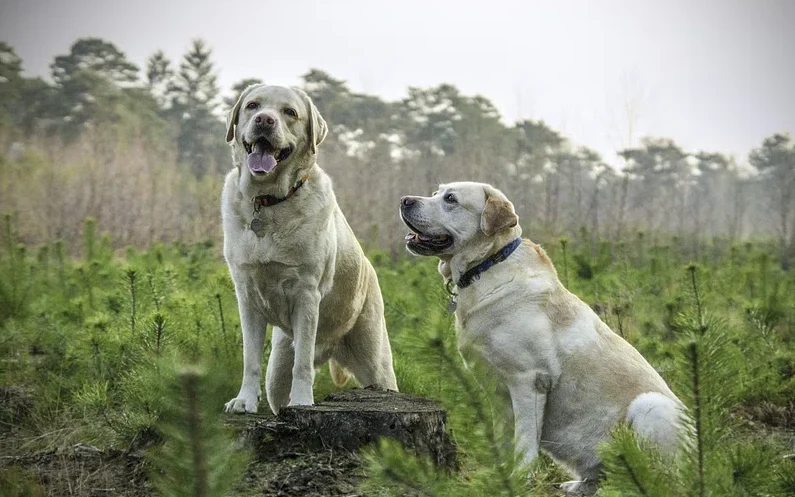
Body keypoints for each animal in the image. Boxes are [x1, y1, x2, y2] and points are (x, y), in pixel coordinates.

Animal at [219, 85, 398, 414]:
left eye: (289, 112)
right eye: (252, 106)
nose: (265, 120)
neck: (269, 202)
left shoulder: (306, 294)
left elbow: (302, 364)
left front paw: (303, 402)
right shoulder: (247, 296)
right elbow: (250, 359)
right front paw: (244, 400)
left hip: (376, 363)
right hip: (277, 368)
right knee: (277, 388)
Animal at [402, 181, 688, 492]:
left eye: (451, 199)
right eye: (435, 193)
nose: (405, 200)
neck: (488, 265)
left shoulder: (529, 380)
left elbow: (525, 440)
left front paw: (520, 479)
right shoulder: (497, 391)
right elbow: (504, 437)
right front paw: (500, 475)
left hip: (650, 405)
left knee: (664, 479)